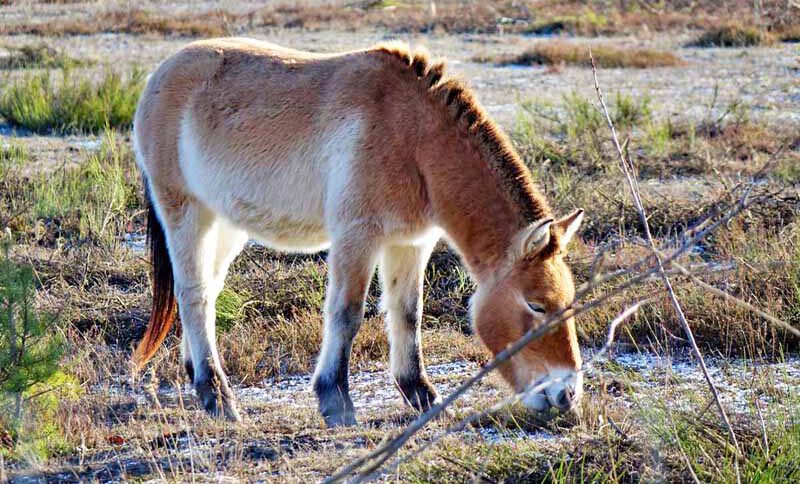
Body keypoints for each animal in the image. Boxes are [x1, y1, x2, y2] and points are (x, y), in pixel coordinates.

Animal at [132, 38, 585, 427]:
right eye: (536, 305)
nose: (566, 395)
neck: (413, 137)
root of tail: (161, 74)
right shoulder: (357, 238)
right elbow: (346, 314)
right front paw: (336, 401)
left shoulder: (410, 243)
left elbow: (407, 313)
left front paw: (421, 395)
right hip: (186, 213)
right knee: (193, 294)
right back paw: (217, 395)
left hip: (224, 226)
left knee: (206, 292)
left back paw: (198, 377)